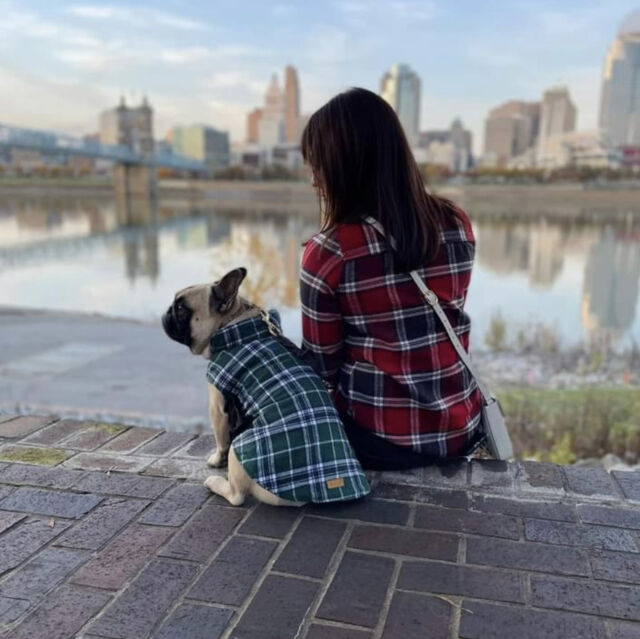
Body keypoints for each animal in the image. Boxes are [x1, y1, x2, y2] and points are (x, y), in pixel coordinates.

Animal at [162, 267, 370, 507]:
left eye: (180, 309)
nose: (167, 312)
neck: (231, 321)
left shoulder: (217, 407)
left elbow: (220, 440)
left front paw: (215, 460)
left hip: (241, 446)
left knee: (237, 495)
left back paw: (215, 482)